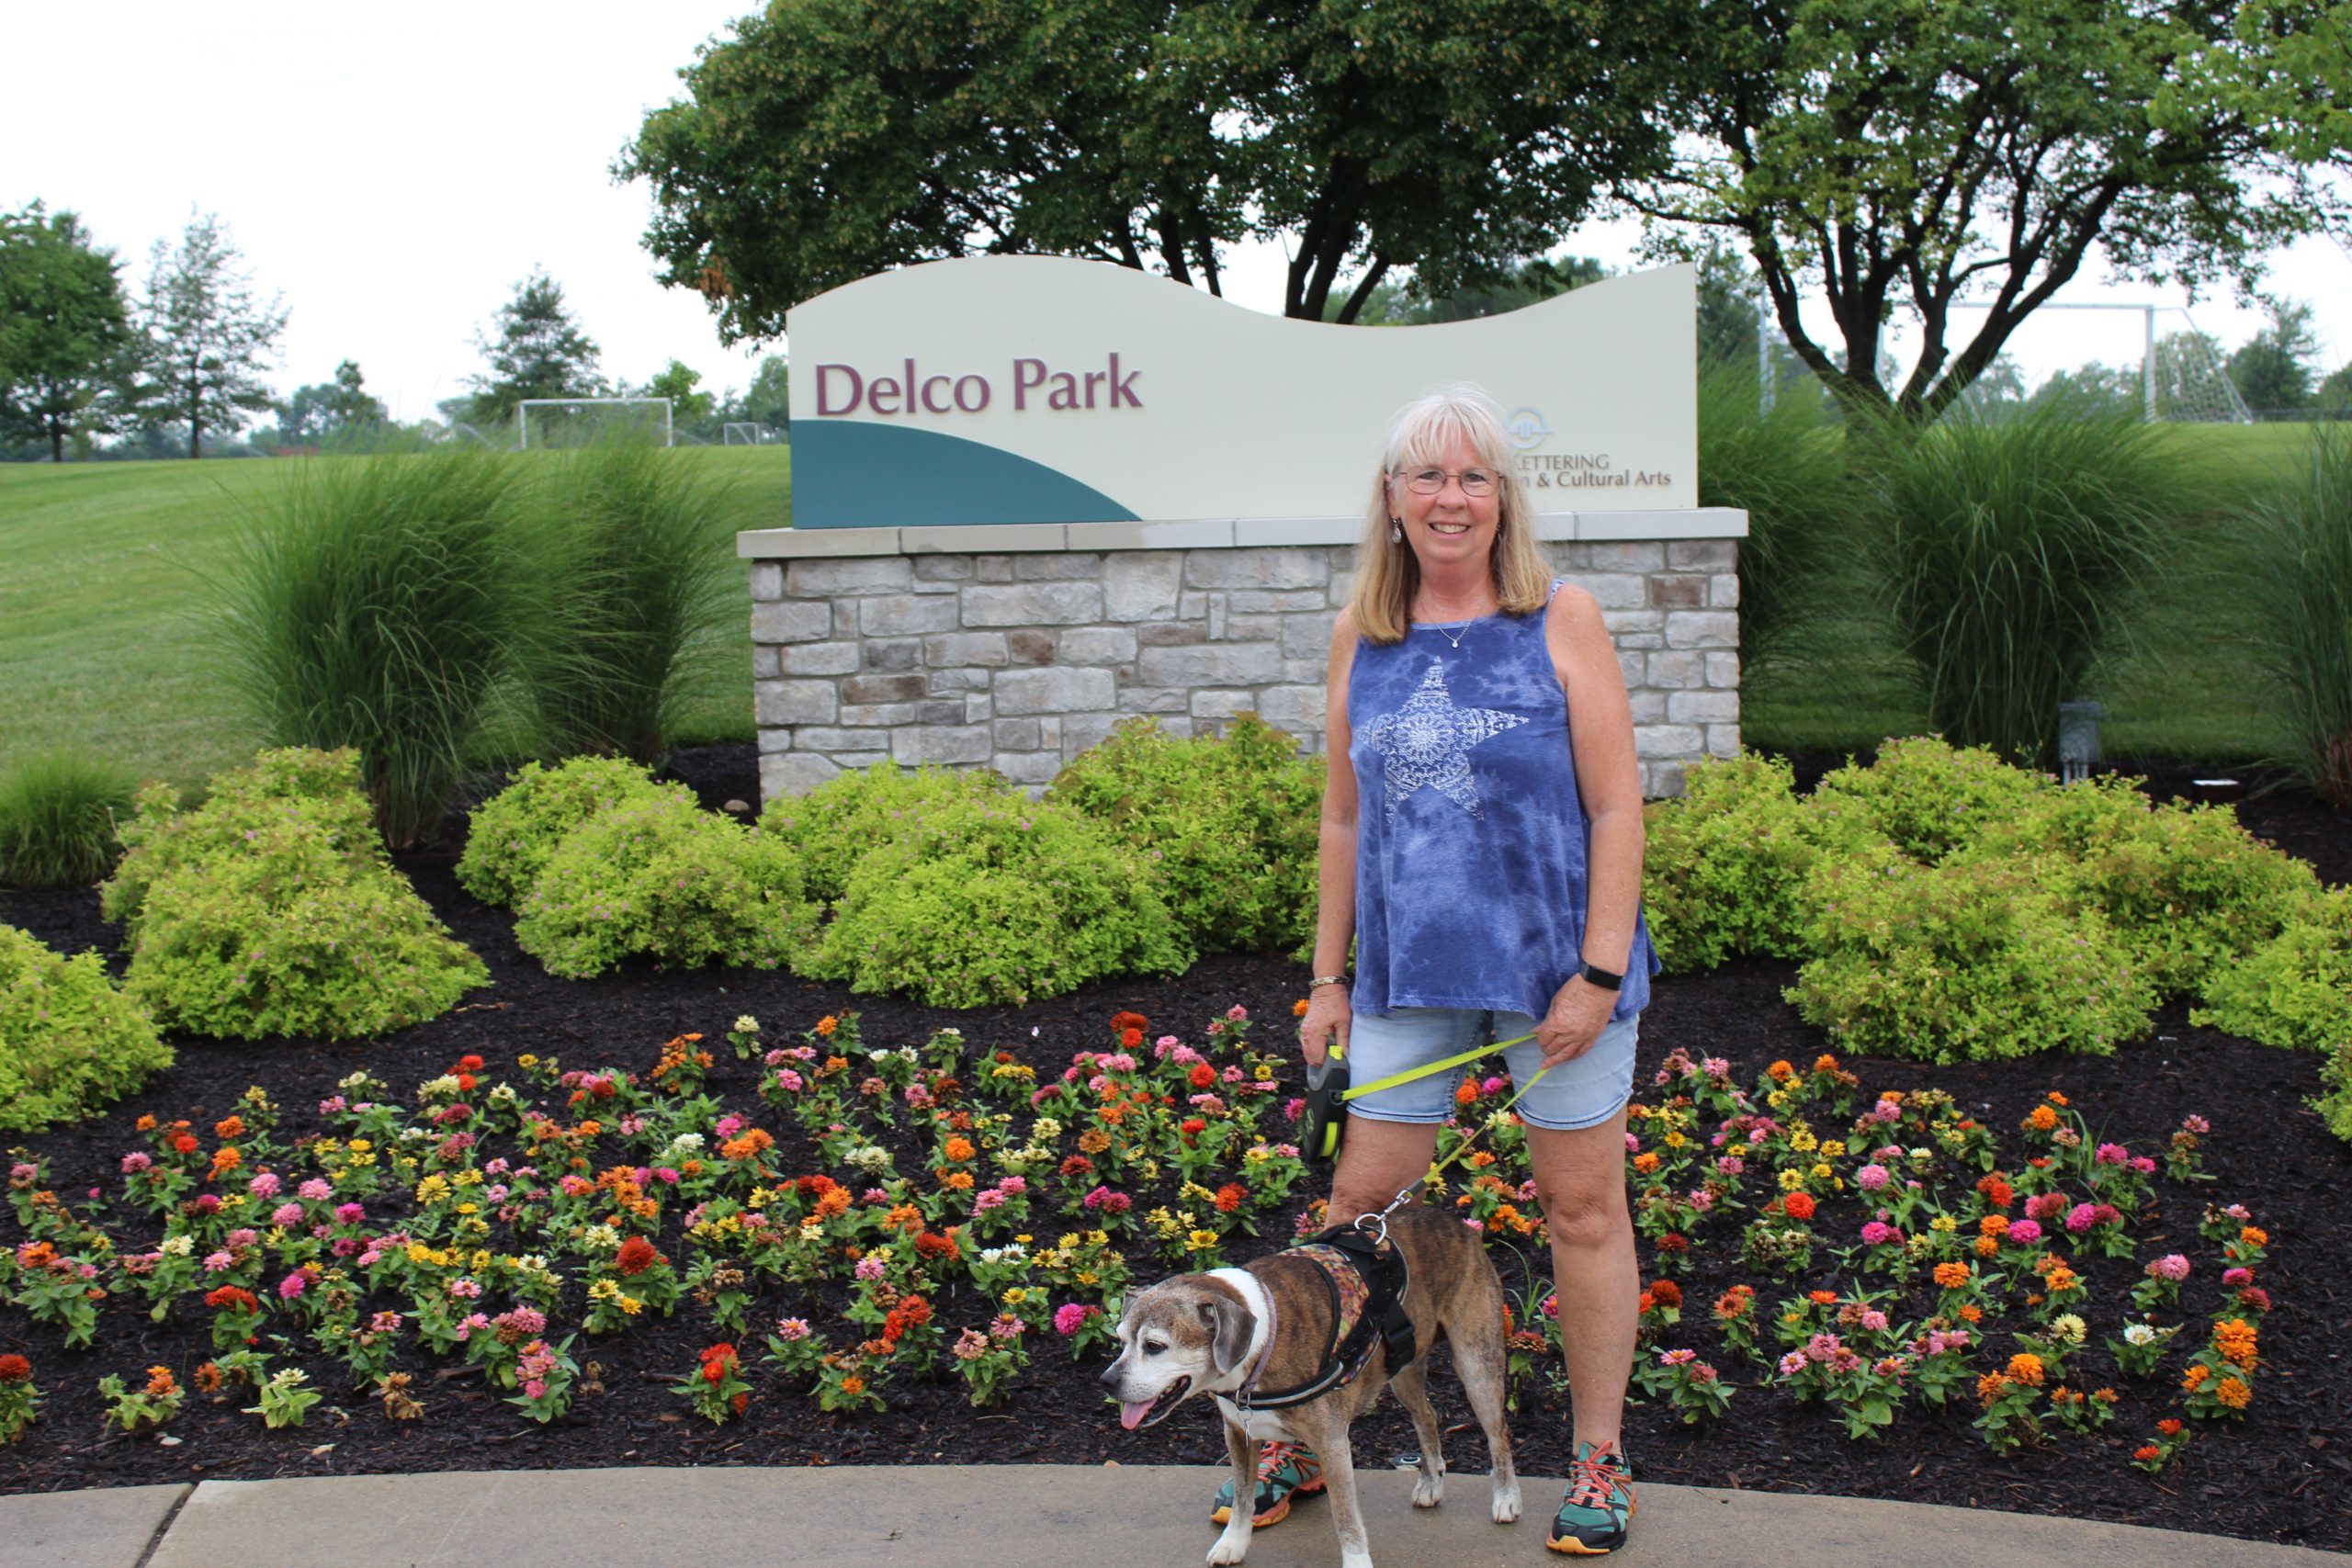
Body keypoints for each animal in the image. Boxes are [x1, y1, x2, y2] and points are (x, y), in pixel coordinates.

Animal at [1105, 1213, 1523, 1561]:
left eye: (1155, 1346)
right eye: (1121, 1340)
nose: (1106, 1381)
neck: (1261, 1336)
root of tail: (1455, 1222)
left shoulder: (1333, 1444)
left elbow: (1346, 1520)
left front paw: (1357, 1563)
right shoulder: (1238, 1434)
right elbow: (1242, 1497)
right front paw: (1233, 1543)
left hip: (1476, 1364)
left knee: (1497, 1432)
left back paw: (1506, 1498)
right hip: (1403, 1368)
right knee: (1428, 1415)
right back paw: (1431, 1482)